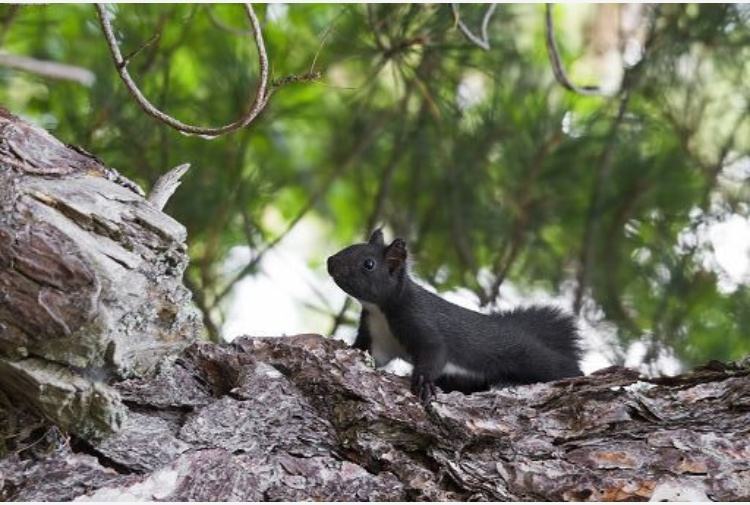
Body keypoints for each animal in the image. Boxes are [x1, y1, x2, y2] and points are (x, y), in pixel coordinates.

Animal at [326, 229, 583, 405]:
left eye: (368, 264)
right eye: (352, 246)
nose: (330, 261)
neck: (380, 310)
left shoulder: (419, 319)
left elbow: (435, 351)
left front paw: (423, 383)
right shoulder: (378, 337)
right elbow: (368, 352)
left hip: (530, 357)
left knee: (561, 367)